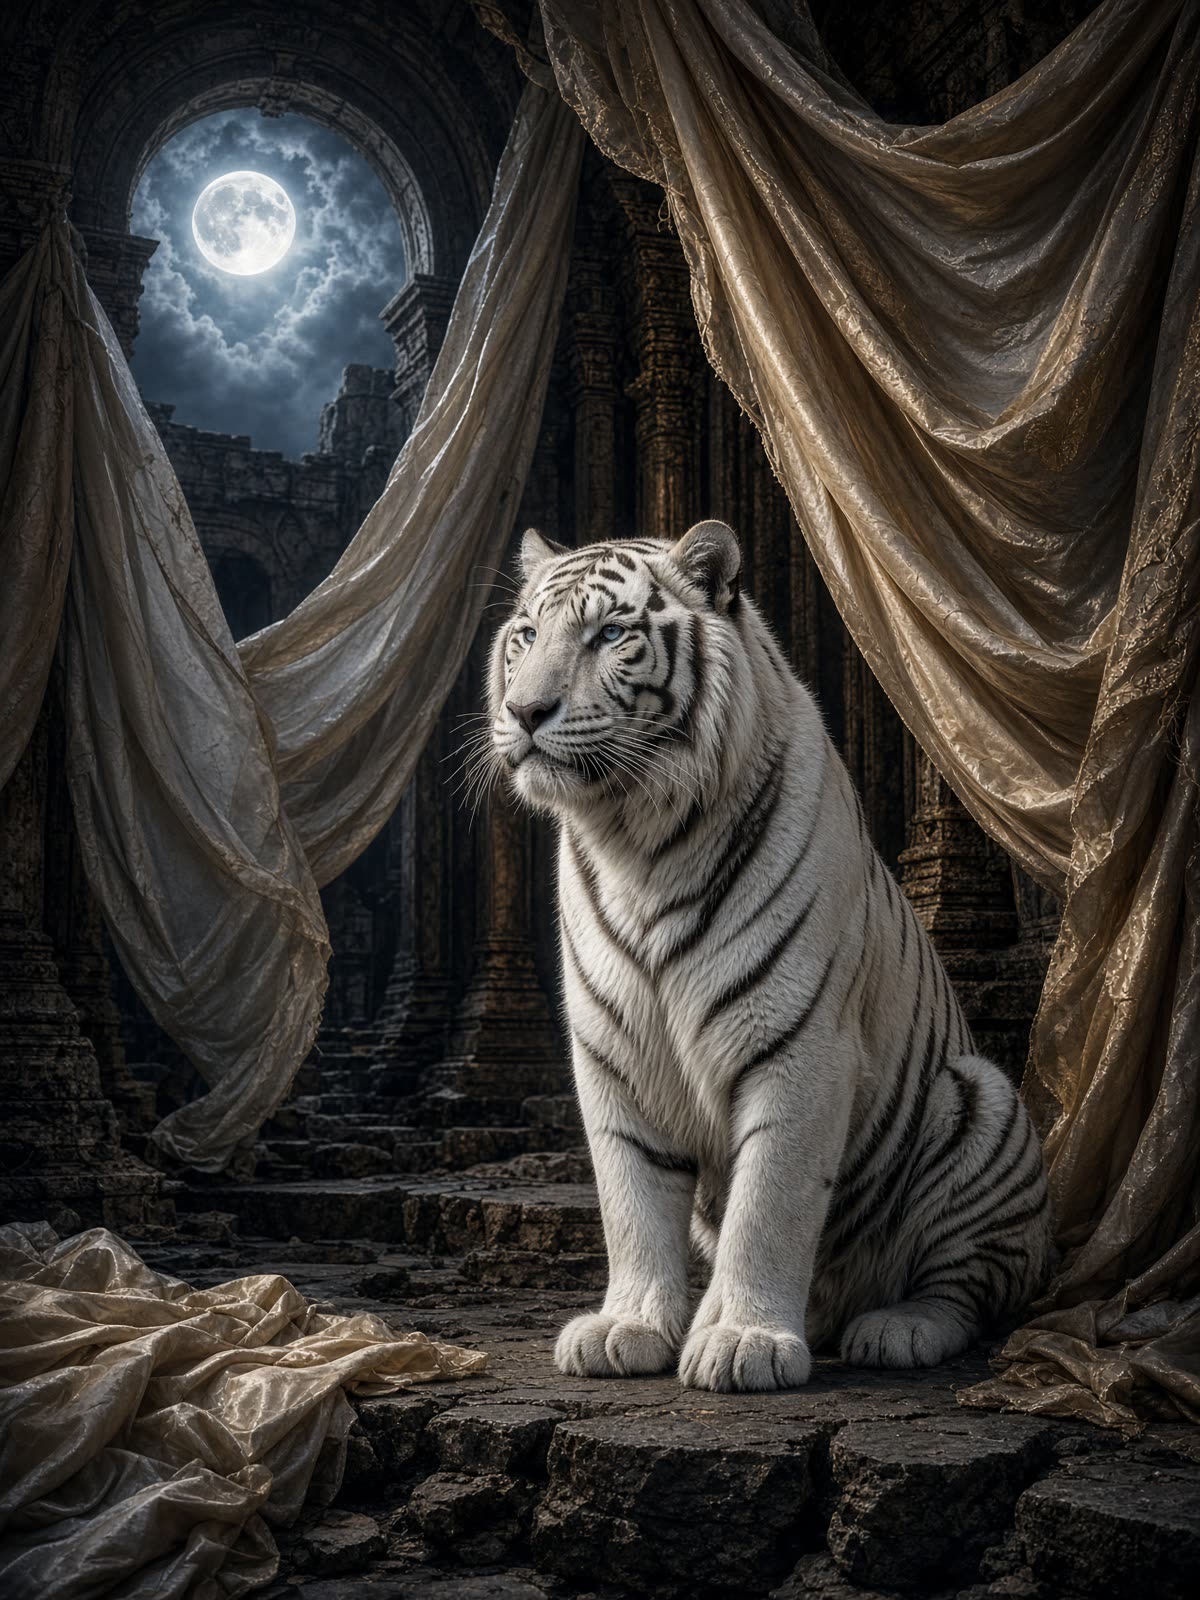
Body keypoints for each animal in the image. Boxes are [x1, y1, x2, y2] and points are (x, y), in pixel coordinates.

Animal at [484, 519, 1052, 1393]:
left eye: (610, 634)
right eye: (525, 636)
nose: (524, 710)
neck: (636, 839)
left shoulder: (798, 1042)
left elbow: (770, 1203)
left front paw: (745, 1340)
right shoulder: (613, 1053)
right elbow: (631, 1201)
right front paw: (628, 1327)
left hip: (979, 1097)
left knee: (971, 1286)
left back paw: (895, 1328)